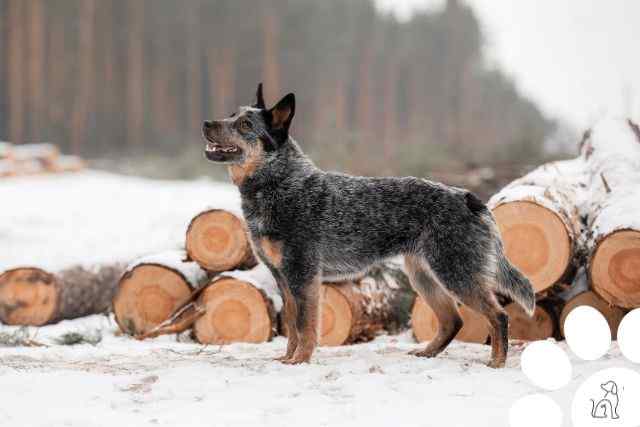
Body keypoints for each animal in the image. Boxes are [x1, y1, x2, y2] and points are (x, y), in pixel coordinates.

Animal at [204, 83, 536, 368]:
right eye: (231, 115)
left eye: (245, 125)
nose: (206, 122)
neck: (280, 184)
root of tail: (469, 197)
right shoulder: (283, 278)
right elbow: (292, 326)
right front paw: (287, 359)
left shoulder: (303, 275)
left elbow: (305, 325)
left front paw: (300, 361)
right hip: (424, 276)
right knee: (453, 320)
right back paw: (427, 353)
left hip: (456, 274)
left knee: (498, 315)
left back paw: (497, 362)